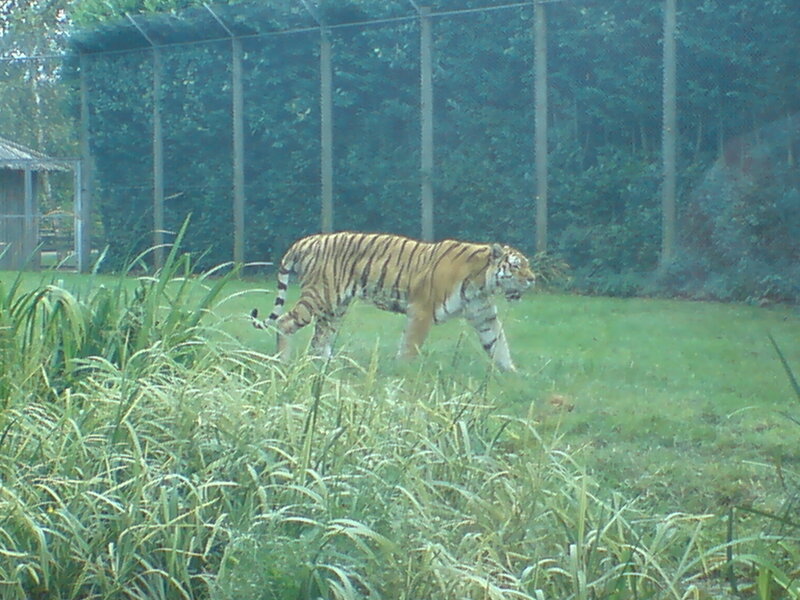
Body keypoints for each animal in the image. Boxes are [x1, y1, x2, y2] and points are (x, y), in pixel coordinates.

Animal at [250, 232, 535, 371]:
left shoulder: (484, 316)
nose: (532, 279)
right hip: (321, 296)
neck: (482, 283)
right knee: (285, 322)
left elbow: (499, 345)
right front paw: (403, 374)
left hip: (335, 308)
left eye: (527, 265)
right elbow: (410, 346)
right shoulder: (421, 310)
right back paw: (283, 362)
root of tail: (307, 241)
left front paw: (513, 375)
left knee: (319, 341)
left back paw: (325, 369)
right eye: (516, 266)